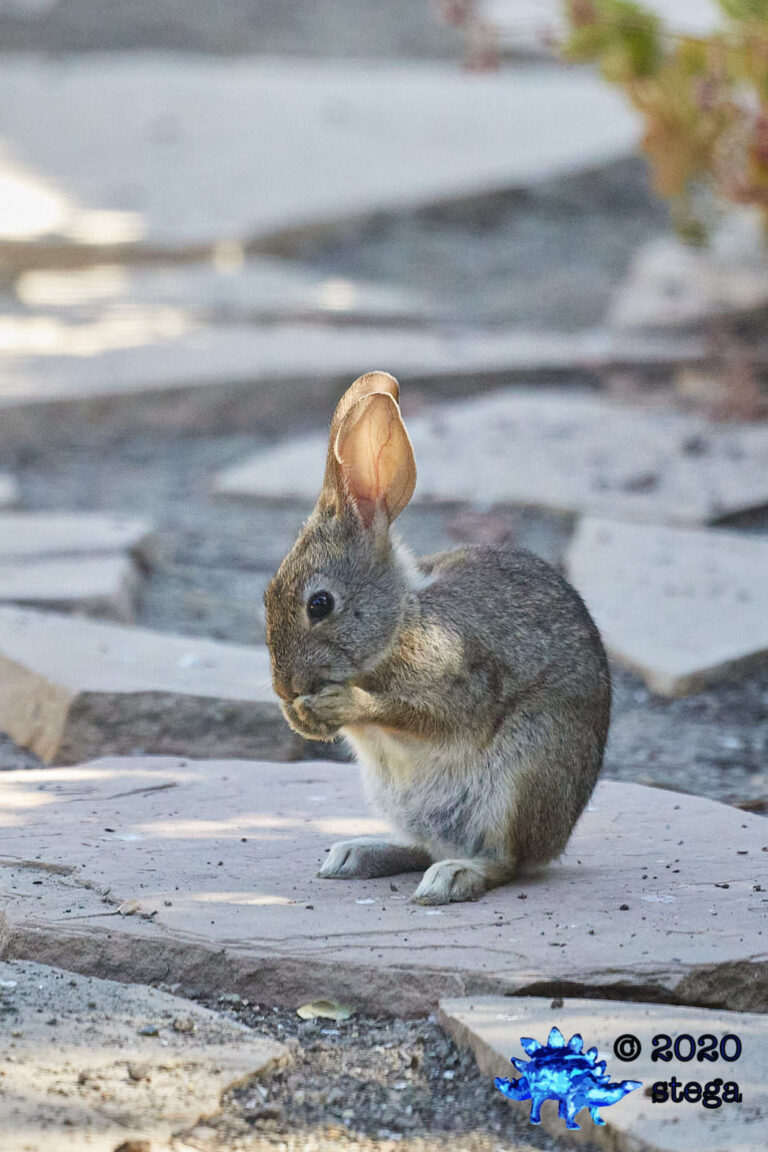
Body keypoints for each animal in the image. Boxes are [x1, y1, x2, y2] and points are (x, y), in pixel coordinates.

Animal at [264, 371, 611, 904]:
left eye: (319, 604)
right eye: (266, 596)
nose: (284, 687)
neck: (399, 624)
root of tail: (556, 840)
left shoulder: (460, 678)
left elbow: (420, 713)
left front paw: (342, 703)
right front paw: (299, 716)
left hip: (525, 768)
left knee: (503, 860)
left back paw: (451, 878)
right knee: (425, 845)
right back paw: (356, 855)